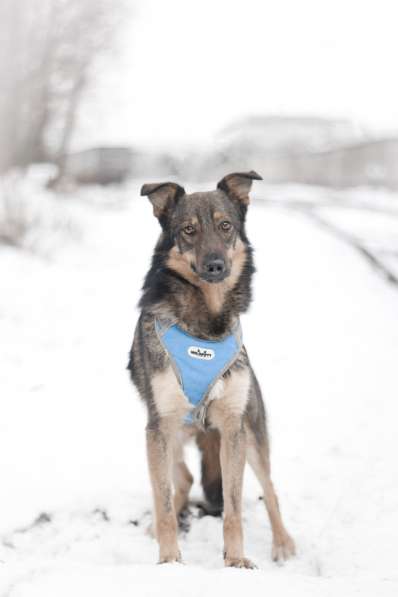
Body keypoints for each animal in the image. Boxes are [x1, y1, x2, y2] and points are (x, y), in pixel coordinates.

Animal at [128, 170, 296, 564]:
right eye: (188, 230)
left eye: (225, 226)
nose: (216, 266)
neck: (205, 323)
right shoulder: (158, 425)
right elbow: (163, 502)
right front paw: (169, 561)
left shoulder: (233, 427)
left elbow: (233, 508)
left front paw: (235, 561)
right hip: (168, 432)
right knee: (181, 481)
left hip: (252, 432)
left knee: (270, 488)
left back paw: (283, 543)